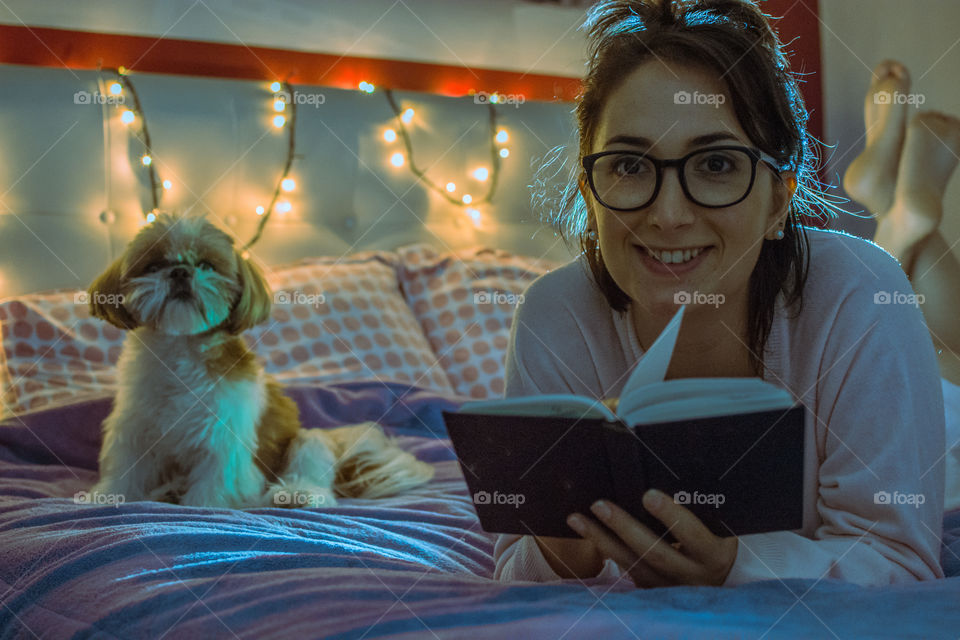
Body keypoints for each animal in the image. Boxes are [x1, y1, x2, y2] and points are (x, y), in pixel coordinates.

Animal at [86, 212, 432, 508]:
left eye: (207, 266)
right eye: (153, 265)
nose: (180, 271)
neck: (181, 347)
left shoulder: (224, 435)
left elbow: (215, 481)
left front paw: (203, 506)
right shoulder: (135, 426)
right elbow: (127, 468)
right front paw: (108, 496)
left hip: (307, 440)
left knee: (309, 461)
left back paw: (297, 494)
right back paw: (169, 490)